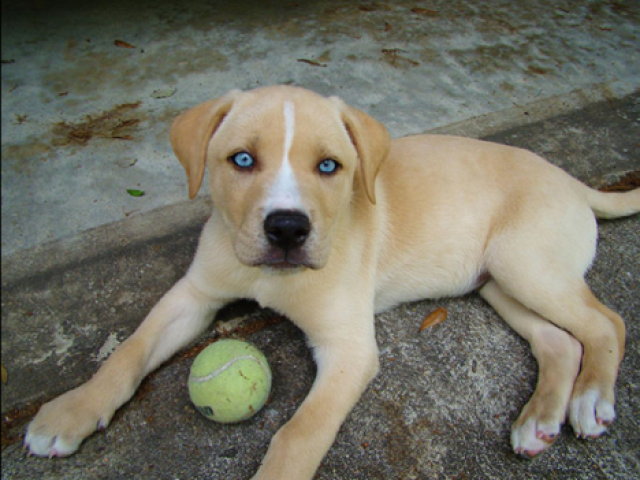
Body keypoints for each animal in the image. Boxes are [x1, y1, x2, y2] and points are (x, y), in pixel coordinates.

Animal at [25, 84, 640, 478]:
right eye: (241, 160)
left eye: (329, 167)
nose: (287, 229)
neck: (273, 277)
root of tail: (572, 181)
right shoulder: (194, 295)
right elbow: (129, 351)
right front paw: (72, 410)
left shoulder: (349, 348)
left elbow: (299, 434)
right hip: (497, 281)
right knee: (560, 341)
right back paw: (539, 421)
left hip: (523, 263)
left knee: (606, 322)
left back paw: (590, 401)